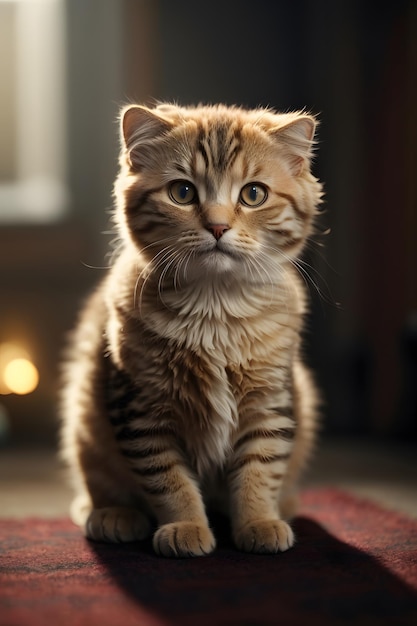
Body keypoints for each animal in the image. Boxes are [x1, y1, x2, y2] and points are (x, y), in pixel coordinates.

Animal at [60, 102, 324, 556]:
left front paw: (258, 521)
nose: (217, 227)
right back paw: (112, 515)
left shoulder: (270, 400)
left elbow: (260, 469)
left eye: (254, 194)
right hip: (83, 419)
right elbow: (169, 480)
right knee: (97, 487)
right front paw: (185, 526)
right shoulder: (142, 409)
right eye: (182, 193)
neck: (215, 312)